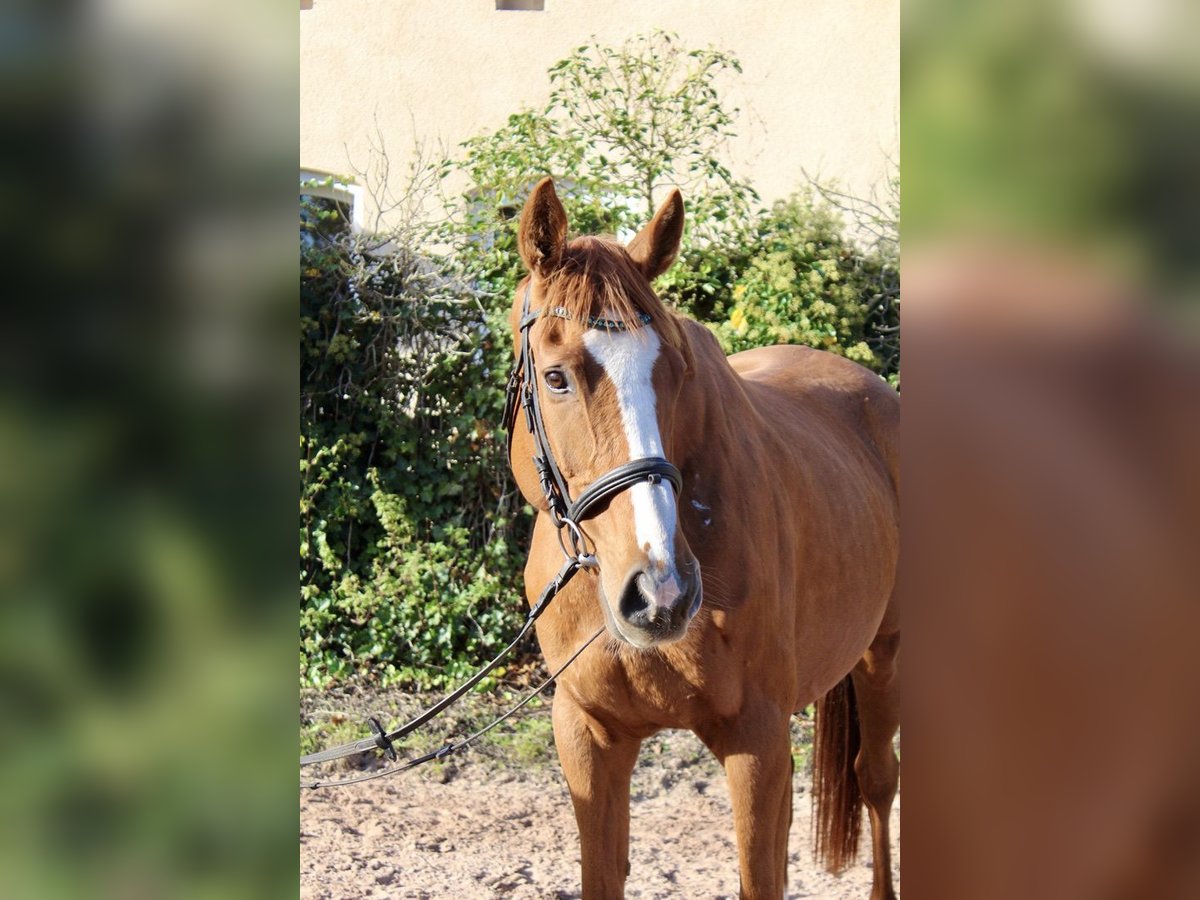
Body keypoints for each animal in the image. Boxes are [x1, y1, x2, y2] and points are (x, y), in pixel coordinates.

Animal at [508, 177, 902, 900]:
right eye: (555, 376)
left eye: (677, 372)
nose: (660, 592)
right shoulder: (588, 737)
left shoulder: (755, 741)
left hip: (883, 654)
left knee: (876, 780)